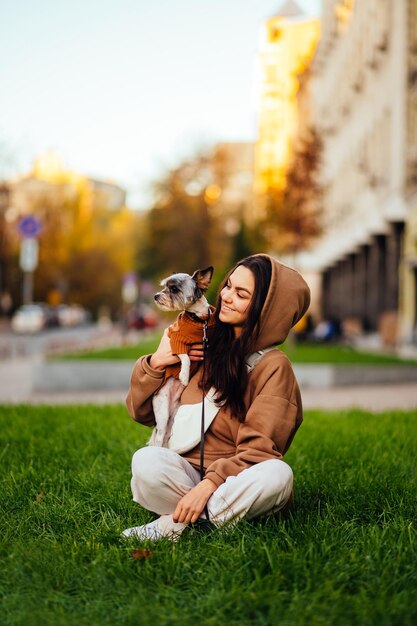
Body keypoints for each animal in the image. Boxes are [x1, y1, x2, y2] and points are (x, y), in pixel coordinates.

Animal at [149, 266, 214, 446]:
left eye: (173, 289)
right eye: (166, 287)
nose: (156, 295)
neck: (199, 320)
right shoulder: (175, 341)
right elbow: (185, 357)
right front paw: (184, 376)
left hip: (174, 419)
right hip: (162, 413)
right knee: (159, 438)